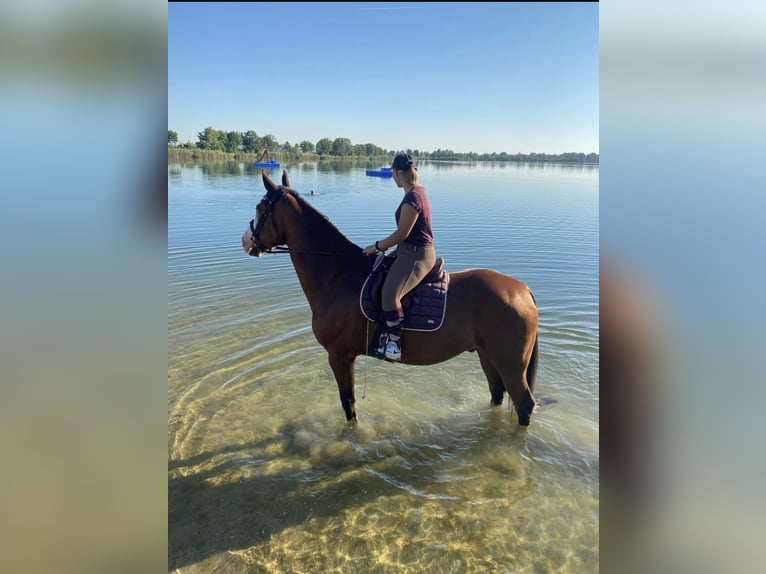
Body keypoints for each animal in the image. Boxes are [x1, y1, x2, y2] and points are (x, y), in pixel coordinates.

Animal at [240, 171, 540, 428]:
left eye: (260, 208)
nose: (246, 241)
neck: (338, 274)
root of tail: (524, 290)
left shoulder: (339, 356)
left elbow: (348, 404)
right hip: (487, 355)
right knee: (497, 394)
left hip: (511, 365)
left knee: (524, 404)